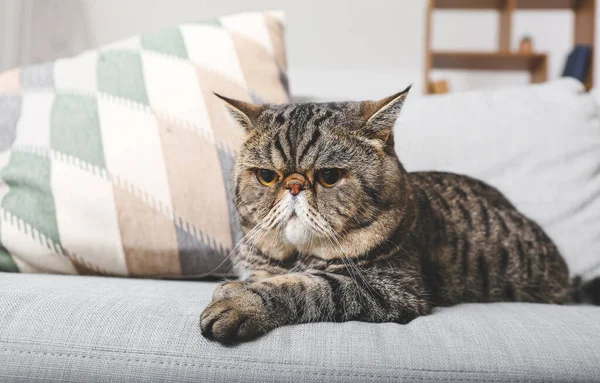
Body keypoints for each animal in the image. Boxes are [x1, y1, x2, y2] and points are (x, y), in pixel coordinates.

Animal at [202, 88, 600, 344]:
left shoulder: (392, 289)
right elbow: (267, 277)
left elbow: (307, 286)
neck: (296, 256)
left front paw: (239, 301)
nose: (295, 185)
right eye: (267, 177)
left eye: (329, 176)